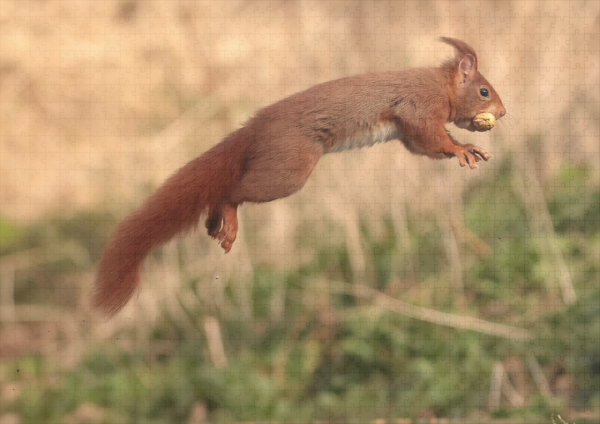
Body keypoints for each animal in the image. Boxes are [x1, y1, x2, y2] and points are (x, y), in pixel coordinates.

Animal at [94, 37, 506, 314]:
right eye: (484, 91)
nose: (502, 113)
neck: (441, 85)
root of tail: (254, 129)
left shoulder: (409, 132)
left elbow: (426, 146)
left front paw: (470, 148)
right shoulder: (418, 107)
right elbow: (432, 137)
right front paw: (462, 149)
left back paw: (213, 223)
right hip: (288, 170)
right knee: (232, 191)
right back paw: (226, 219)